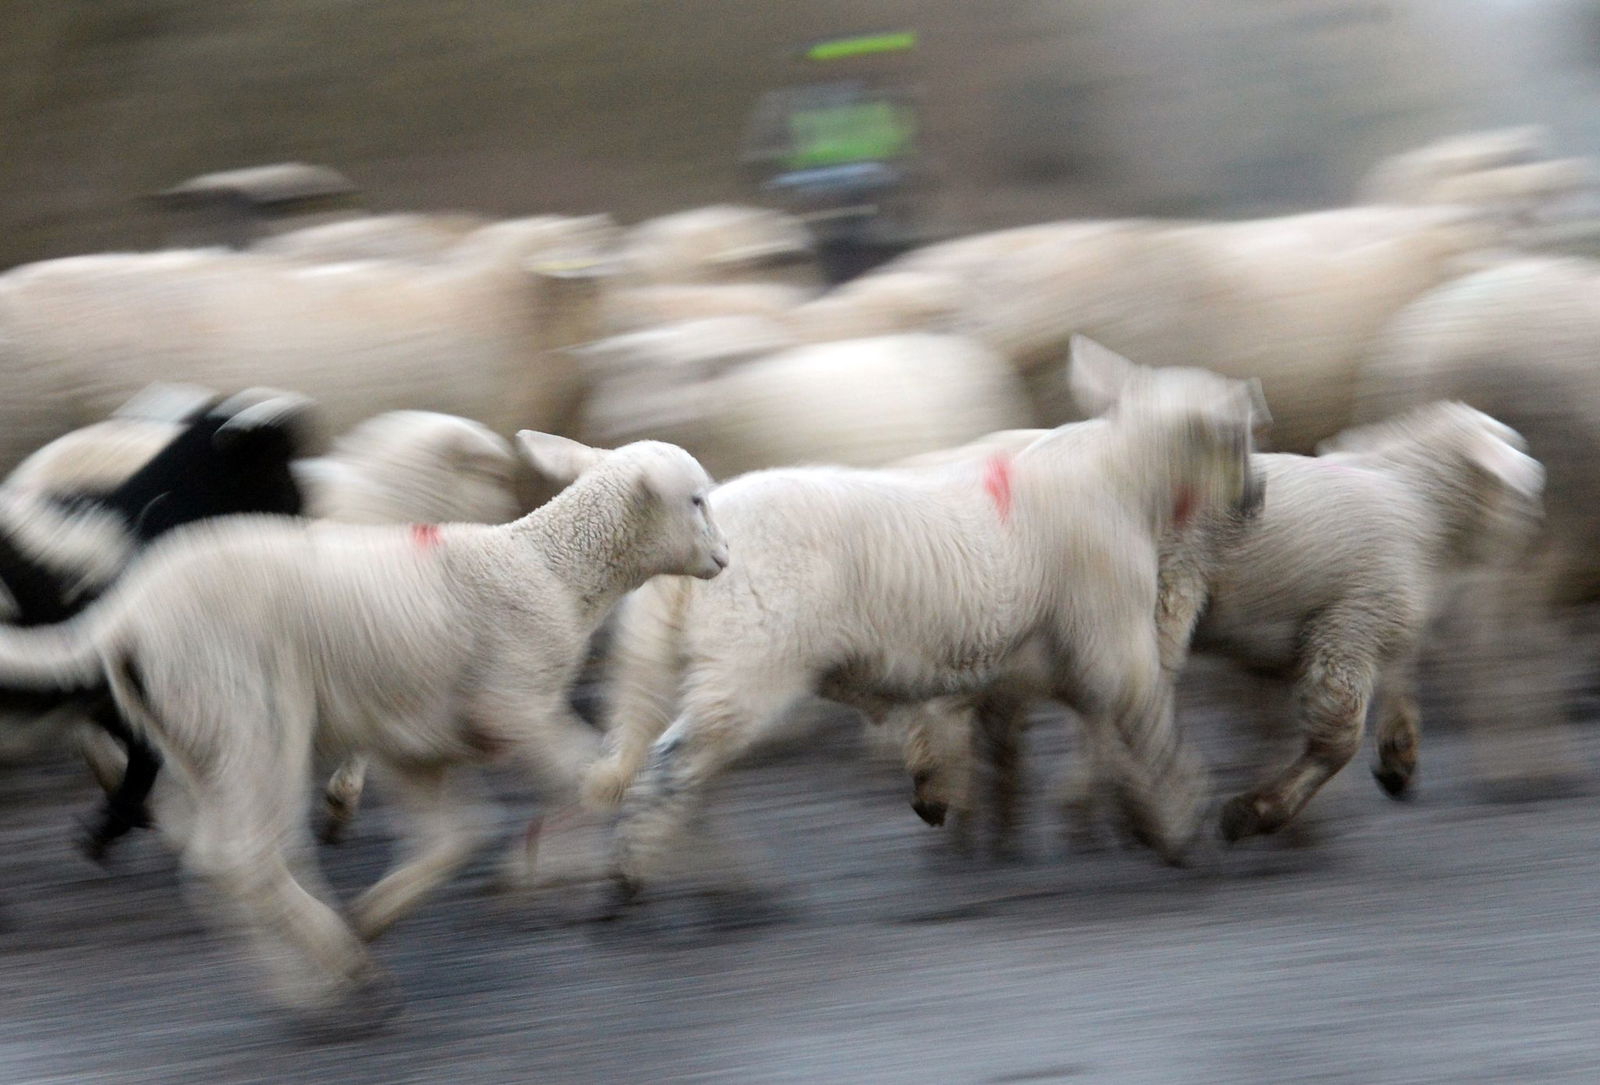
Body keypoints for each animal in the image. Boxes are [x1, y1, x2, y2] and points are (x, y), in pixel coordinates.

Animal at [0, 432, 724, 1022]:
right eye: (695, 500)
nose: (724, 557)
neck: (550, 568)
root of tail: (125, 615)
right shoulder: (510, 705)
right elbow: (594, 778)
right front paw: (621, 865)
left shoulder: (418, 740)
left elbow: (456, 835)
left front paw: (379, 914)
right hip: (250, 711)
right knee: (239, 854)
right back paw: (338, 973)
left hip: (196, 730)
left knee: (220, 850)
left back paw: (311, 969)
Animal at [584, 338, 1267, 909]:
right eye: (1237, 435)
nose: (1255, 497)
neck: (1126, 481)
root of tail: (692, 546)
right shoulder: (1110, 629)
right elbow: (1150, 726)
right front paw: (1184, 826)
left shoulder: (1040, 656)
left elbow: (1061, 730)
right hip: (751, 658)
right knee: (674, 763)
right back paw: (634, 881)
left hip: (686, 661)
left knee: (683, 767)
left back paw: (709, 877)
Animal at [898, 401, 1547, 850]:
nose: (1534, 522)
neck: (1420, 502)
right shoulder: (1352, 622)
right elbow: (1334, 737)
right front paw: (1255, 813)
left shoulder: (1314, 635)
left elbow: (1383, 683)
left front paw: (1396, 760)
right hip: (1146, 593)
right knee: (1103, 692)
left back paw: (949, 788)